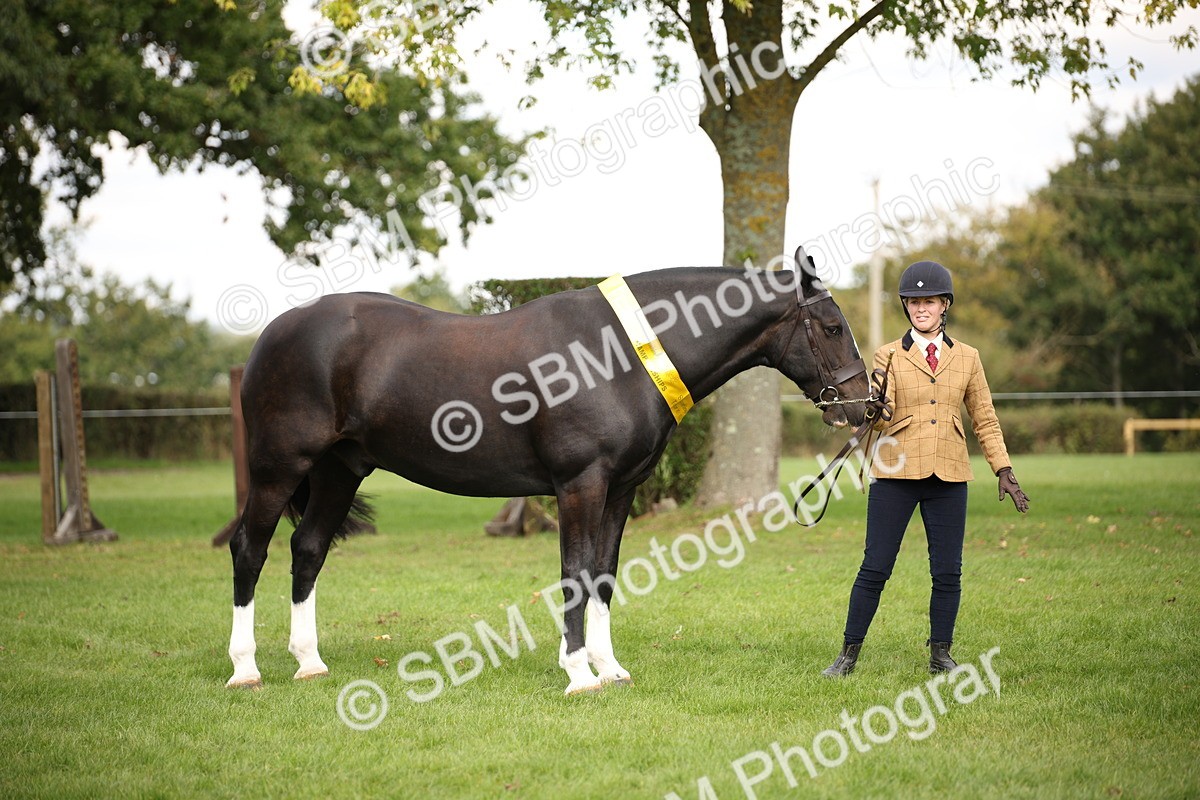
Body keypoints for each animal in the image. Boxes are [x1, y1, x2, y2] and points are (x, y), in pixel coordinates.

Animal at [224, 249, 870, 694]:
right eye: (833, 327)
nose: (864, 406)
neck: (617, 354)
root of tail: (273, 334)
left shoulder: (621, 489)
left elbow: (604, 574)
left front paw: (609, 669)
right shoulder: (580, 484)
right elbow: (575, 573)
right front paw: (579, 674)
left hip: (339, 471)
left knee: (308, 549)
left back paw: (309, 663)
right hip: (278, 468)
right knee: (249, 549)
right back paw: (245, 669)